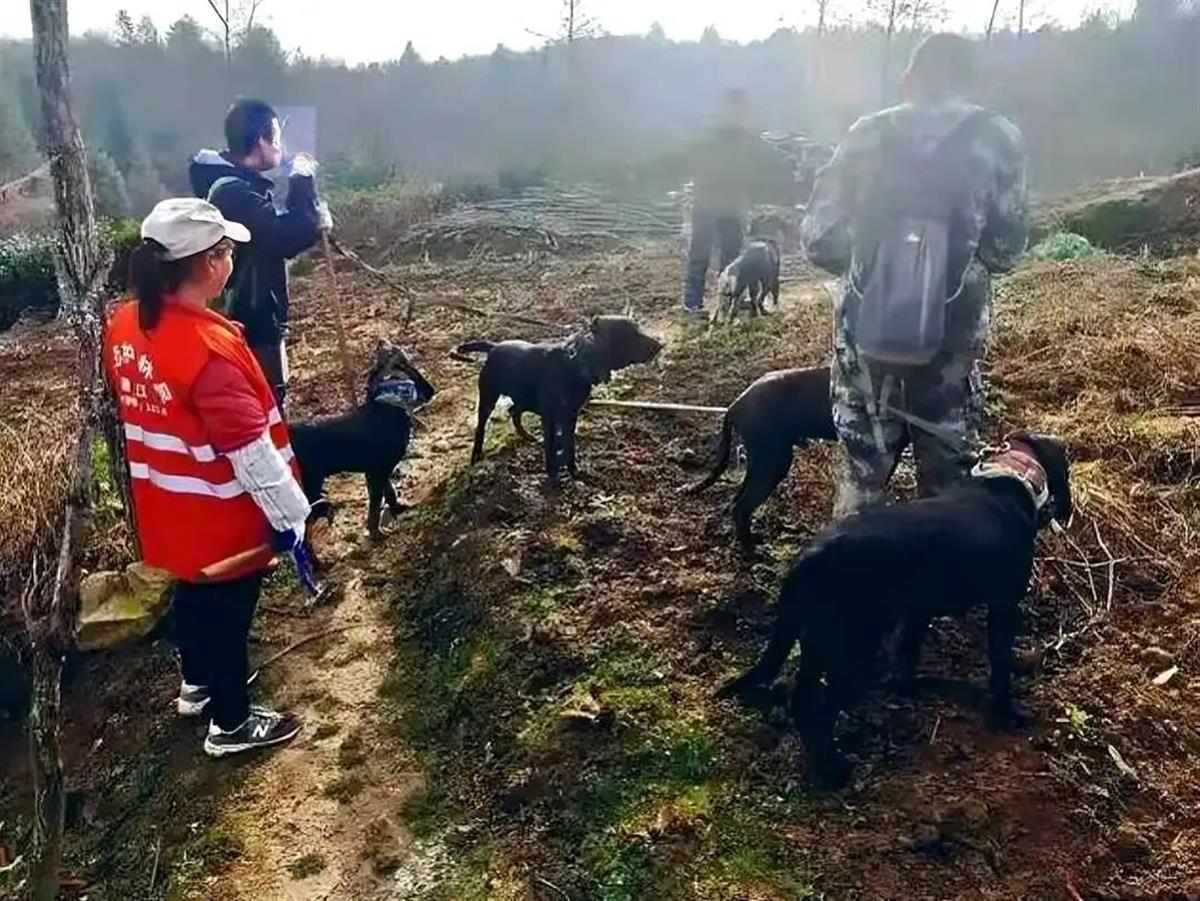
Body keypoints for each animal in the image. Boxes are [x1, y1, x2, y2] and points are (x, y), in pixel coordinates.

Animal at [290, 340, 436, 539]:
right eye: (401, 363)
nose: (431, 392)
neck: (387, 406)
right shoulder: (377, 471)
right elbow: (375, 504)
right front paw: (376, 533)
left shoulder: (379, 470)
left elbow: (389, 492)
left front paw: (397, 509)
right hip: (311, 480)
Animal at [456, 314, 667, 487]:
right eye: (630, 334)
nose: (660, 345)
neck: (575, 363)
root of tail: (494, 347)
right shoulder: (550, 417)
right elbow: (551, 450)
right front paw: (553, 477)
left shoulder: (571, 415)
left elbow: (569, 444)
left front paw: (573, 470)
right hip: (488, 399)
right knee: (481, 426)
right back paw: (477, 454)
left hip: (524, 398)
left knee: (513, 411)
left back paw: (526, 435)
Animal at [686, 364, 835, 547]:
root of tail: (734, 405)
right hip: (773, 463)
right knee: (741, 506)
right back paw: (752, 546)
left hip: (761, 462)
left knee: (735, 502)